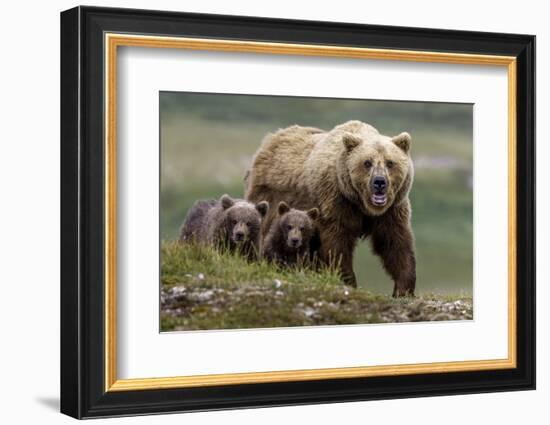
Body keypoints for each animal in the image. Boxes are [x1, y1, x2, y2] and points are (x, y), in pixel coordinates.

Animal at [247, 119, 418, 294]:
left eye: (390, 163)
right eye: (367, 162)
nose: (379, 182)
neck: (361, 204)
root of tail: (271, 138)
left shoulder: (392, 209)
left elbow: (395, 243)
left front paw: (403, 287)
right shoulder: (335, 202)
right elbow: (336, 245)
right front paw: (347, 280)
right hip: (272, 198)